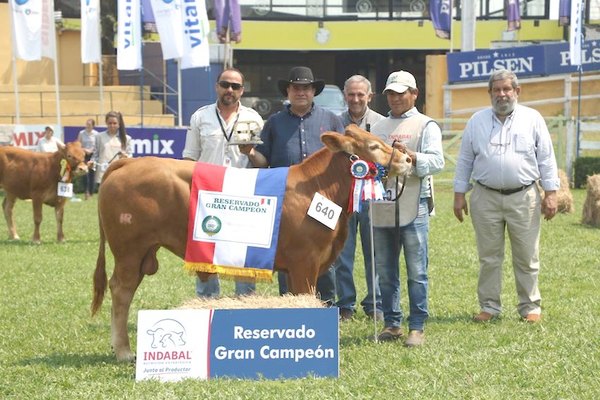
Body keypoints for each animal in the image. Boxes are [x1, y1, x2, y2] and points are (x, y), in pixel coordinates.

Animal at [92, 126, 412, 362]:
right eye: (373, 146)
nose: (407, 159)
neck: (316, 188)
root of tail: (129, 161)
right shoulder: (304, 262)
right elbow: (304, 298)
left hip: (142, 251)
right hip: (129, 250)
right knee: (121, 290)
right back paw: (124, 351)